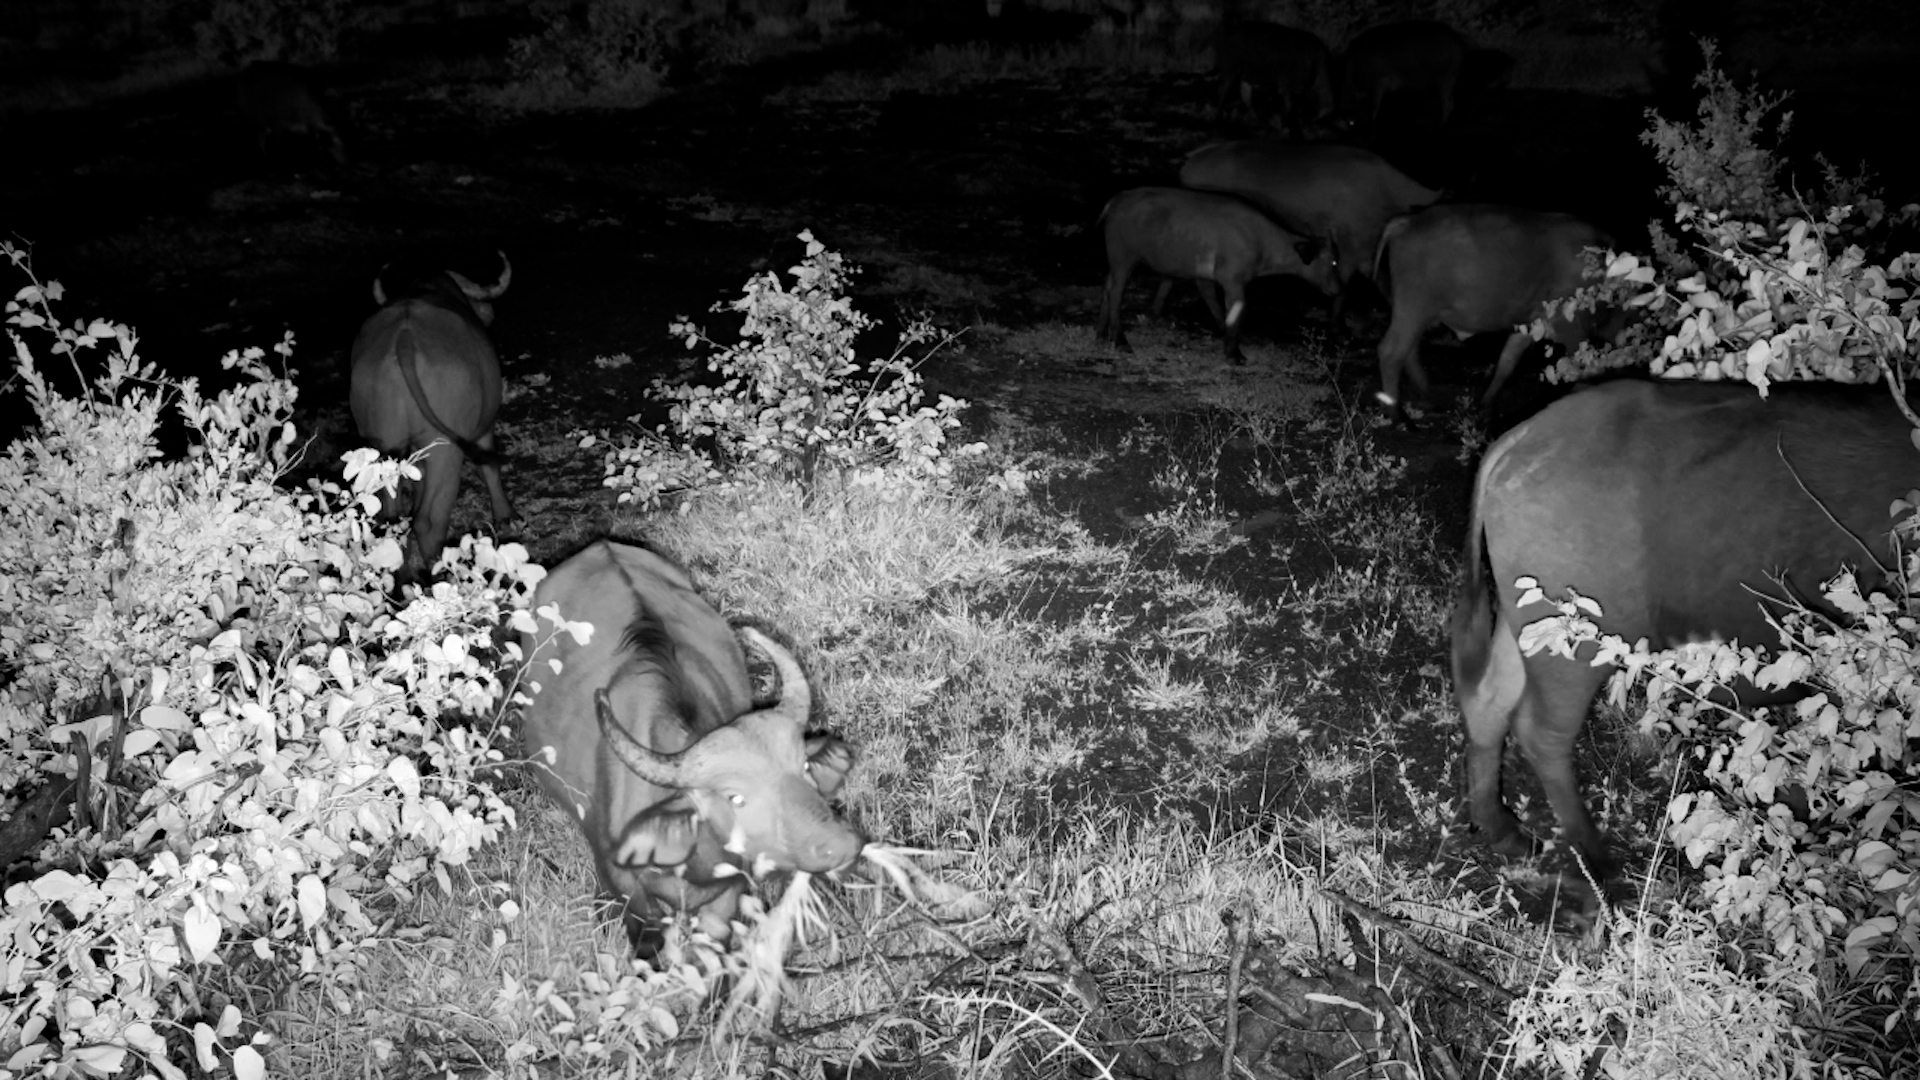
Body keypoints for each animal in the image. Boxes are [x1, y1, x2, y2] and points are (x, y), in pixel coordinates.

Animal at [350, 252, 515, 585]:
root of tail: (403, 340)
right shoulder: (482, 429)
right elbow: (489, 467)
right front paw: (505, 515)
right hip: (444, 449)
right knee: (428, 522)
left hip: (382, 447)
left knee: (391, 519)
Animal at [1097, 186, 1338, 363]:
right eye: (1334, 262)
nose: (1336, 289)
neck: (1261, 240)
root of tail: (1116, 200)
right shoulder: (1233, 281)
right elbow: (1237, 310)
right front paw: (1234, 353)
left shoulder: (1207, 277)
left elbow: (1216, 305)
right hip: (1124, 259)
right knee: (1116, 292)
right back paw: (1119, 340)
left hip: (1116, 263)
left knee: (1107, 287)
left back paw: (1100, 333)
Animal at [1178, 140, 1440, 330]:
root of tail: (1192, 158)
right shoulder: (1350, 247)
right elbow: (1344, 285)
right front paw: (1336, 325)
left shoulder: (1364, 249)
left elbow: (1382, 283)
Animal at [1372, 202, 1610, 422]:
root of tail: (1407, 221)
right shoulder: (1569, 328)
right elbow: (1582, 366)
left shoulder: (1527, 325)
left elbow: (1506, 362)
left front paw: (1486, 405)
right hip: (1413, 309)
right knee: (1391, 352)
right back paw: (1397, 414)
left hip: (1415, 314)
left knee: (1409, 351)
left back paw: (1427, 393)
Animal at [1452, 379, 1915, 879]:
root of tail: (1523, 437)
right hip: (1576, 639)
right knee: (1542, 733)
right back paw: (1595, 861)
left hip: (1525, 623)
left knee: (1488, 701)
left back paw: (1502, 829)